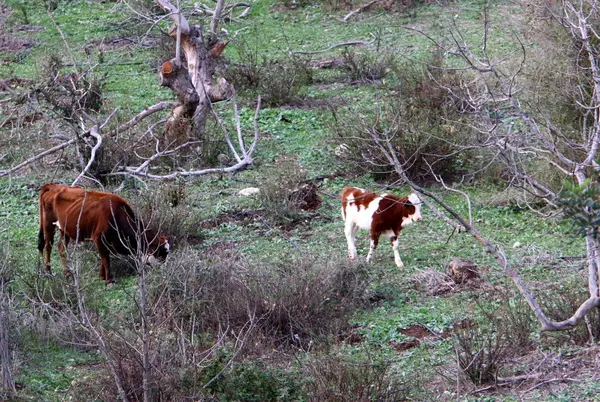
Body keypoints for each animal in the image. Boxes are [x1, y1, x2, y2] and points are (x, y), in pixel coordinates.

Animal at [37, 184, 170, 284]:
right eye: (161, 253)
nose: (164, 271)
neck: (116, 215)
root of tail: (52, 186)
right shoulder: (99, 237)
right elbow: (106, 259)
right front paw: (108, 280)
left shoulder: (107, 242)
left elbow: (104, 258)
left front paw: (102, 276)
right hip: (48, 225)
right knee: (48, 247)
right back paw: (48, 271)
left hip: (64, 229)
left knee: (61, 248)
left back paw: (67, 273)